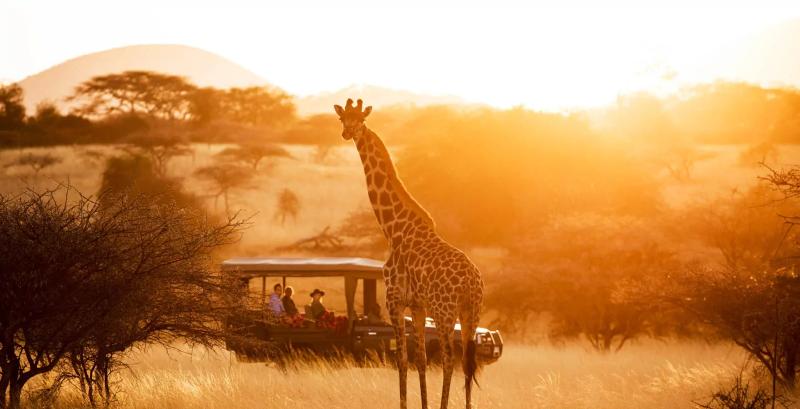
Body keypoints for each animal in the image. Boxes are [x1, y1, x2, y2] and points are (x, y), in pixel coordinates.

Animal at [334, 99, 484, 409]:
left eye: (360, 120)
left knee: (450, 360)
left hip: (445, 311)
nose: (347, 133)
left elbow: (402, 361)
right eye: (343, 118)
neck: (393, 229)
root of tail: (471, 283)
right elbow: (421, 360)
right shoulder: (417, 306)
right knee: (467, 363)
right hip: (471, 311)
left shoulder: (394, 300)